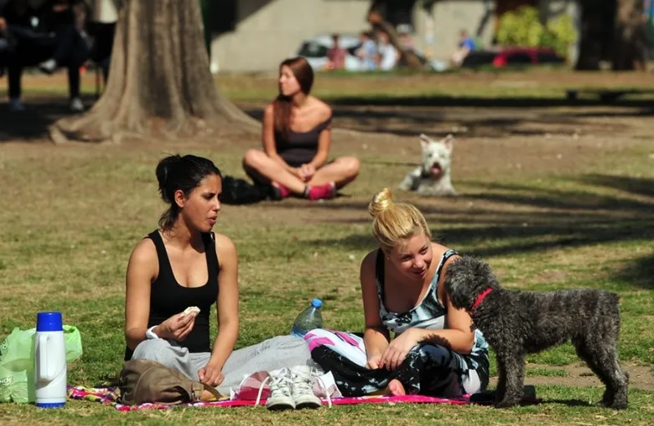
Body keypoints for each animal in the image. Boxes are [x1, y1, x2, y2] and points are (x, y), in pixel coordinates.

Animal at [446, 256, 632, 410]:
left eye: (451, 272)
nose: (444, 279)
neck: (489, 300)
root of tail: (613, 298)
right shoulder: (502, 354)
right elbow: (503, 379)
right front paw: (498, 399)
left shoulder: (512, 352)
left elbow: (513, 378)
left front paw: (508, 402)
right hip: (589, 350)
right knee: (609, 377)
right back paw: (606, 402)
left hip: (600, 345)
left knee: (620, 376)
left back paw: (619, 404)